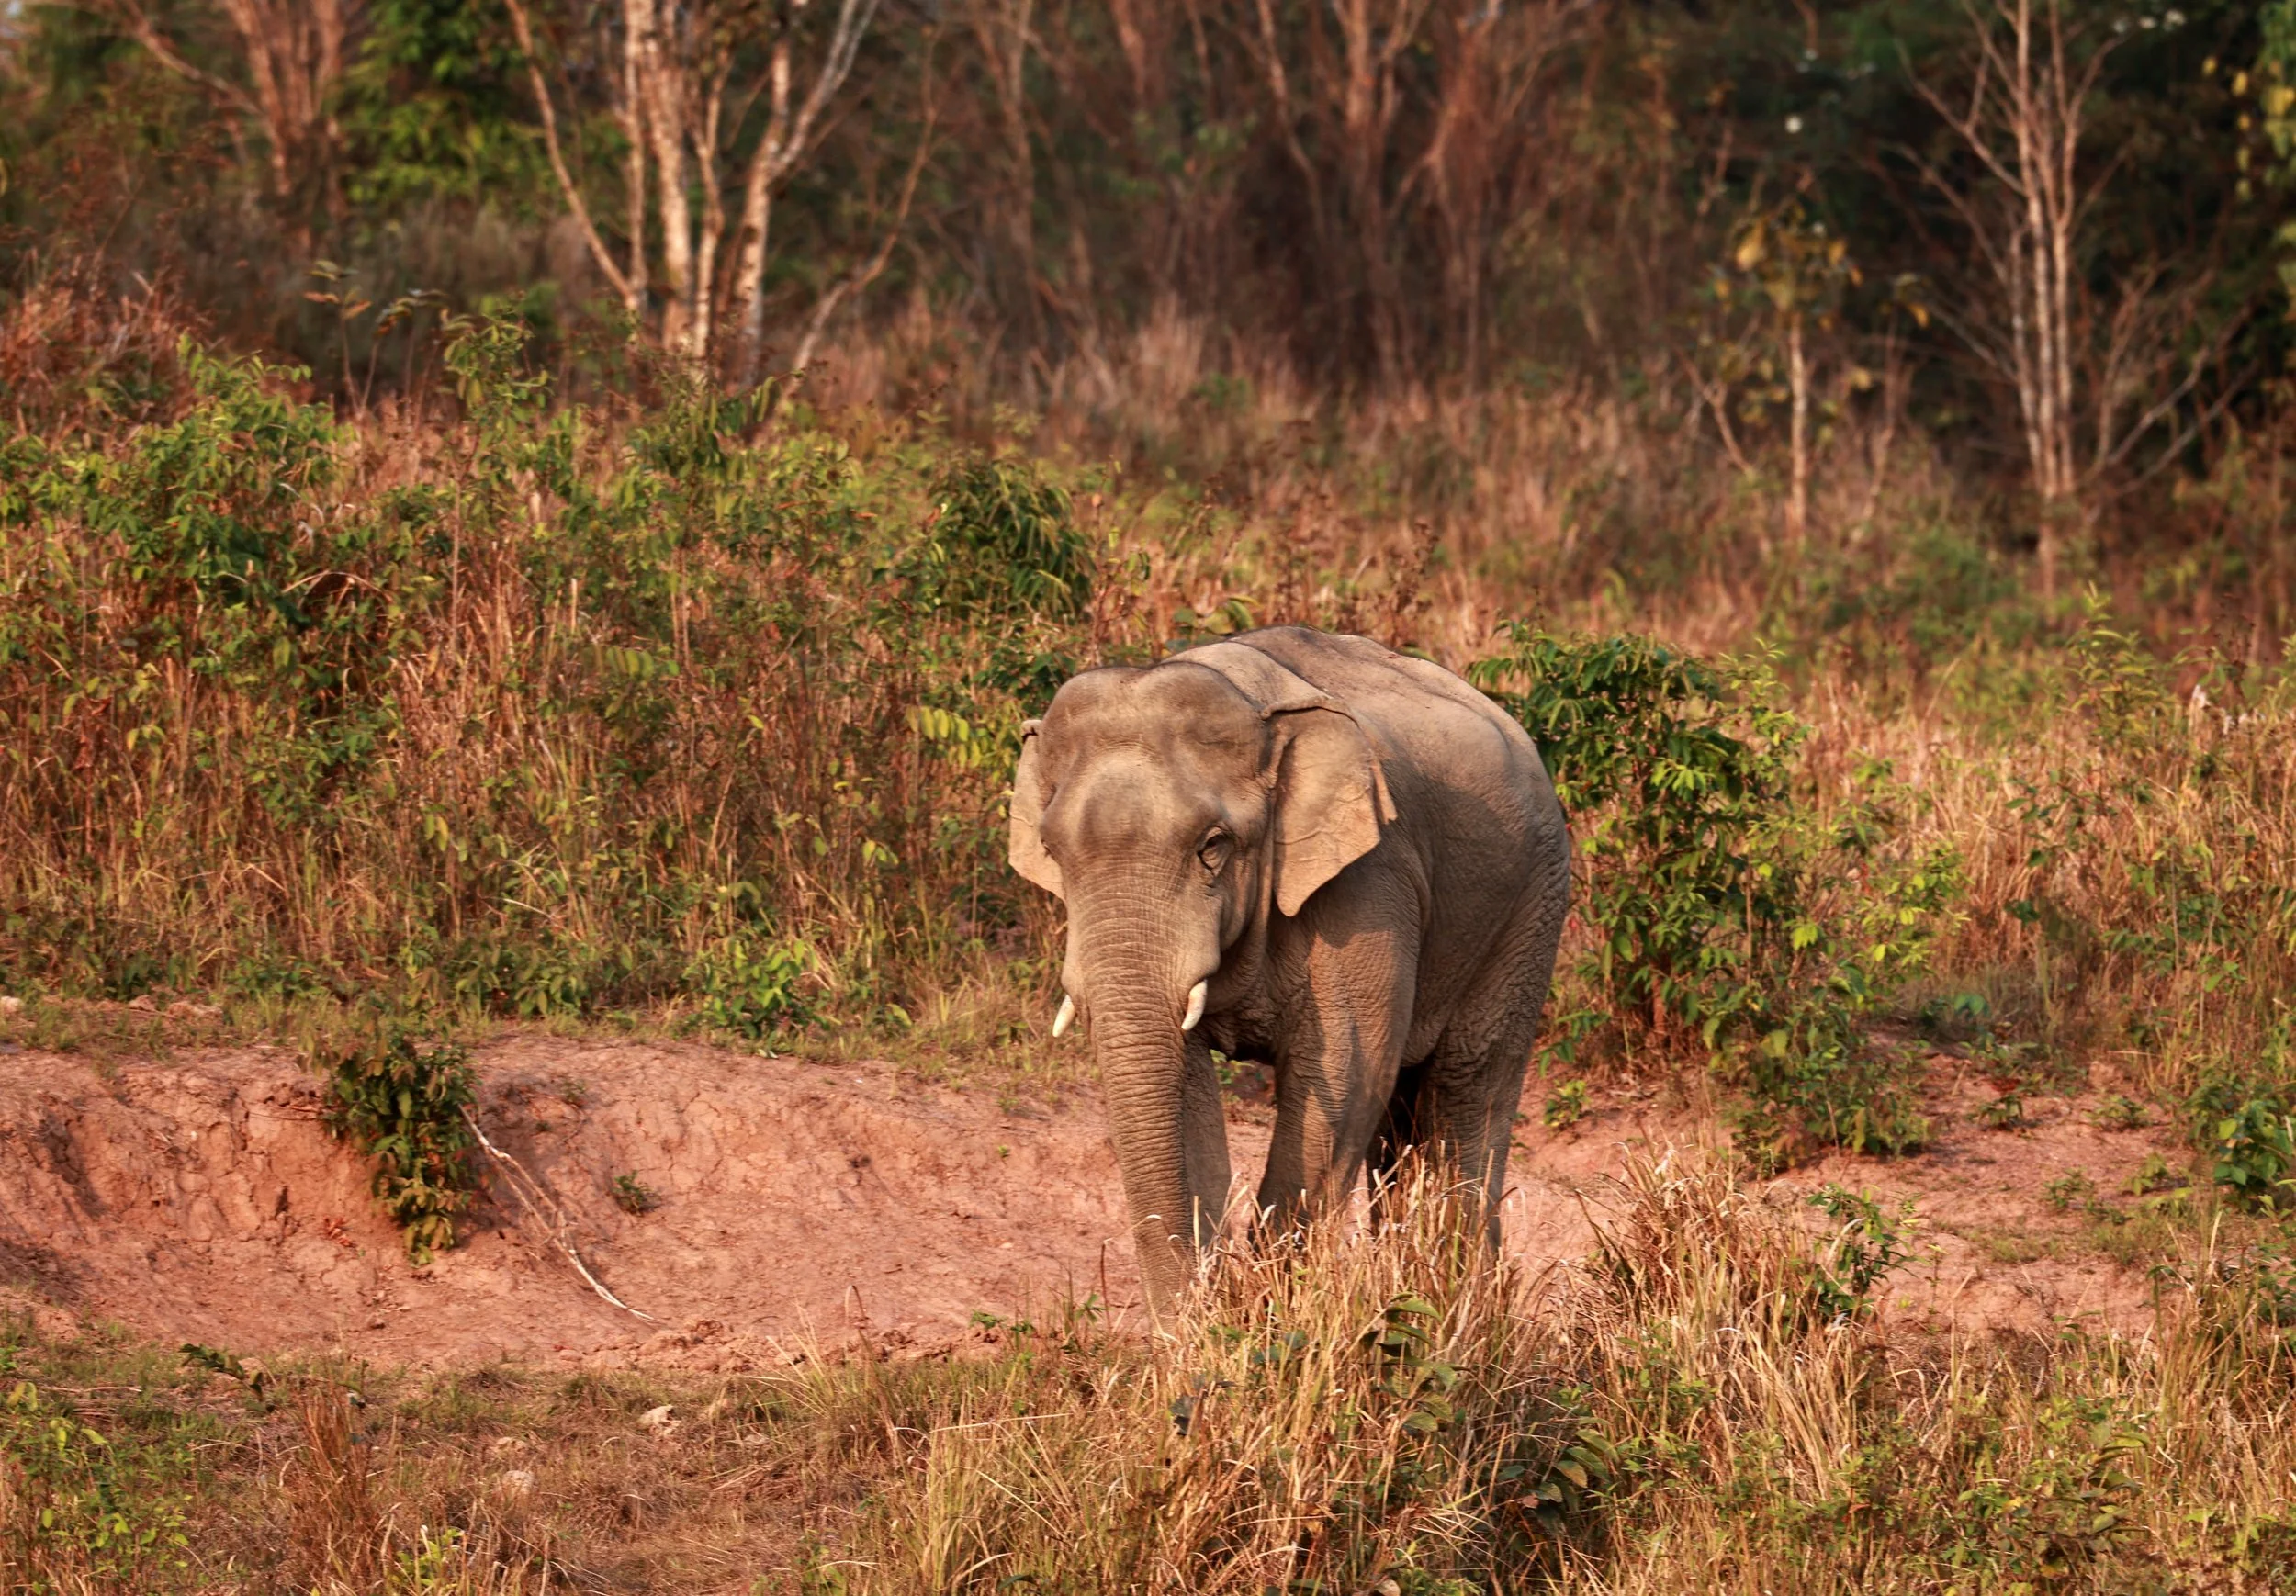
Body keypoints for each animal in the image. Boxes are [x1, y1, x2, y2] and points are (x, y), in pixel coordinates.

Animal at [1008, 624, 1570, 1313]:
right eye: (1052, 850)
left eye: (1214, 846)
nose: (1200, 1306)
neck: (1254, 707)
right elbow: (1185, 1085)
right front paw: (1206, 1324)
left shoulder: (1369, 882)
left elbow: (1345, 1073)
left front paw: (1267, 1313)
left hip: (1532, 906)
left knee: (1468, 1085)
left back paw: (1456, 1307)